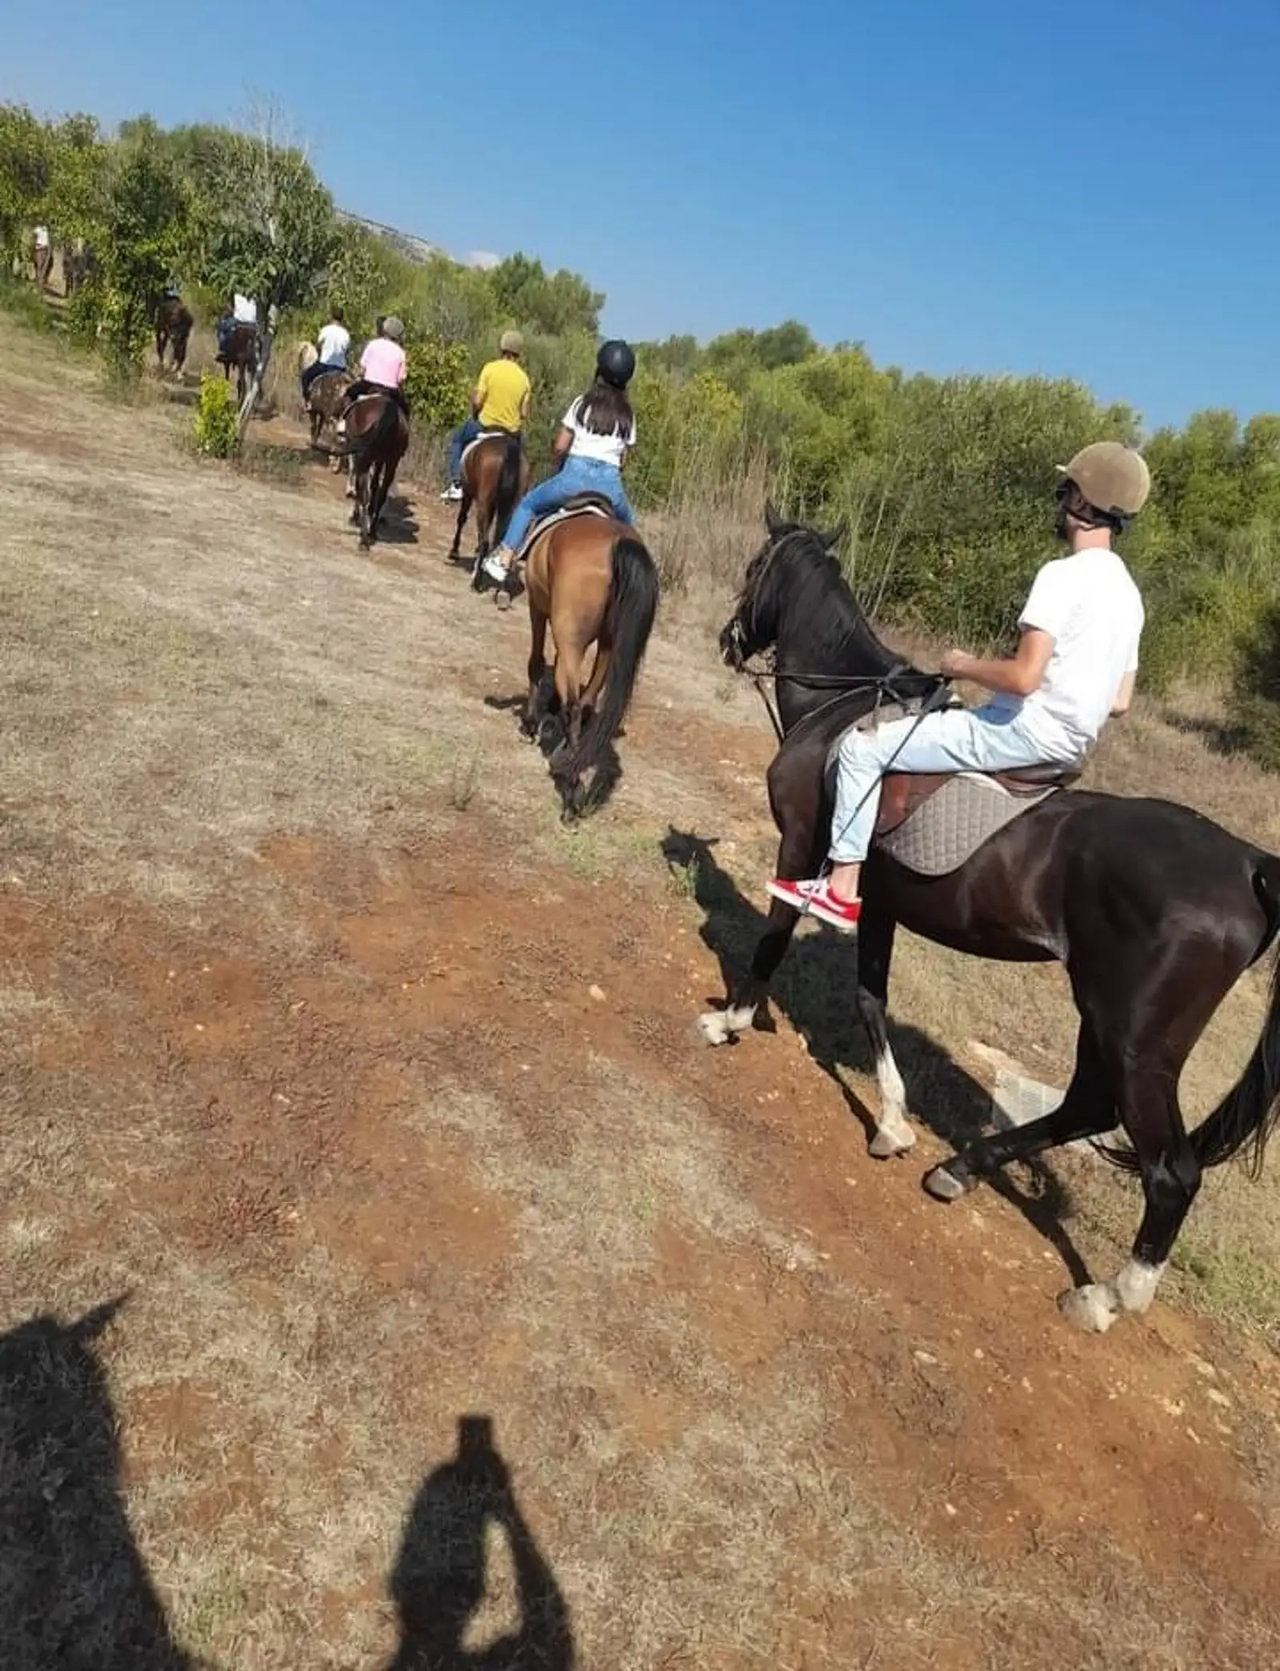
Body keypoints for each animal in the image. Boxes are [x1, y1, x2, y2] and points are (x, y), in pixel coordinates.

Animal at [327, 394, 410, 549]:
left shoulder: (359, 455)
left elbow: (358, 482)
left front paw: (354, 514)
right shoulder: (380, 459)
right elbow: (375, 487)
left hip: (365, 457)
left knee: (363, 492)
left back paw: (363, 537)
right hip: (391, 460)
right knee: (381, 492)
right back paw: (371, 531)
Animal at [518, 503, 659, 820]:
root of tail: (617, 544)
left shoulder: (537, 607)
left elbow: (536, 662)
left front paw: (531, 724)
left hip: (570, 632)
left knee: (573, 704)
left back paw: (571, 789)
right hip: (608, 644)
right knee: (586, 701)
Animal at [705, 503, 1280, 1335]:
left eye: (756, 567)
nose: (729, 639)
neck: (842, 708)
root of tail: (1247, 863)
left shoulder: (802, 843)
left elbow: (776, 936)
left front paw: (729, 1019)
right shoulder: (882, 900)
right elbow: (871, 997)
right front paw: (893, 1121)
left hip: (1136, 1038)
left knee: (1171, 1169)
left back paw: (1107, 1295)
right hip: (1101, 1013)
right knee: (1085, 1106)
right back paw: (957, 1168)